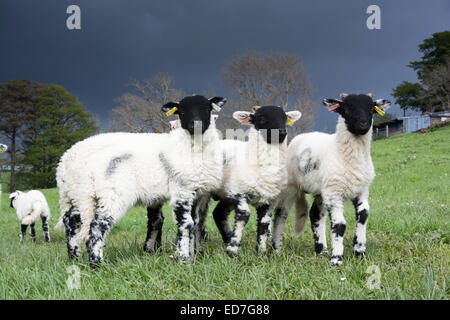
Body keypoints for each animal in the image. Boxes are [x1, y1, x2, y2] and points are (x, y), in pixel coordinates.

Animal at [55, 95, 225, 268]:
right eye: (181, 111)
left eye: (207, 108)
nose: (196, 125)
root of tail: (64, 160)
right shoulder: (181, 191)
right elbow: (186, 224)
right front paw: (184, 259)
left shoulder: (197, 193)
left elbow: (194, 223)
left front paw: (194, 255)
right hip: (105, 195)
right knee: (95, 226)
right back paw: (96, 265)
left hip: (81, 195)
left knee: (71, 220)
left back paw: (75, 257)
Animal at [270, 92, 390, 264]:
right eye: (346, 109)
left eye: (371, 109)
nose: (363, 124)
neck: (341, 152)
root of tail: (300, 137)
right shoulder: (334, 193)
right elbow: (339, 225)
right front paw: (337, 258)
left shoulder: (361, 190)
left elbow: (363, 216)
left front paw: (360, 252)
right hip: (291, 188)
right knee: (281, 215)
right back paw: (277, 249)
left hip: (322, 190)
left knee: (315, 214)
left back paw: (321, 250)